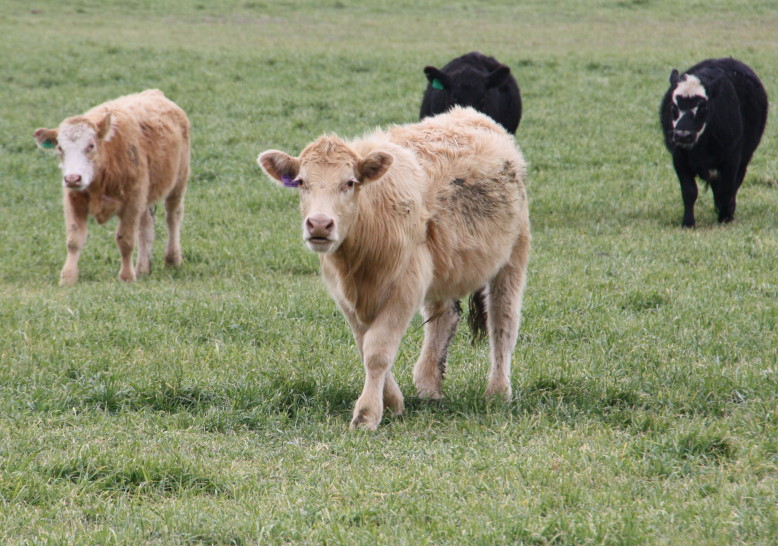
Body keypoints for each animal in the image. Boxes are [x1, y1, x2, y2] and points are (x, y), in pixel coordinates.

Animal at [34, 89, 190, 285]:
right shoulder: (74, 201)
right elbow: (74, 240)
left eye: (91, 145)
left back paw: (172, 259)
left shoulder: (132, 203)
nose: (72, 178)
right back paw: (142, 268)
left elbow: (125, 240)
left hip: (178, 183)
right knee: (146, 226)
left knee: (173, 217)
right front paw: (68, 277)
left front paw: (126, 276)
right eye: (60, 148)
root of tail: (154, 93)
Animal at [258, 107, 531, 430]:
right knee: (444, 318)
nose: (320, 224)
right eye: (301, 182)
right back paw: (429, 386)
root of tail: (472, 115)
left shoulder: (405, 288)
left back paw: (498, 392)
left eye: (349, 182)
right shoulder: (346, 296)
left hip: (513, 258)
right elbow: (365, 346)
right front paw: (393, 402)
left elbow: (377, 351)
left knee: (503, 324)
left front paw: (367, 414)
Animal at [659, 58, 768, 227]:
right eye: (674, 107)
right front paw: (688, 222)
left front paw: (726, 217)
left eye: (703, 107)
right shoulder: (679, 158)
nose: (683, 135)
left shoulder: (731, 159)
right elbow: (689, 192)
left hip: (744, 158)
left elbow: (727, 189)